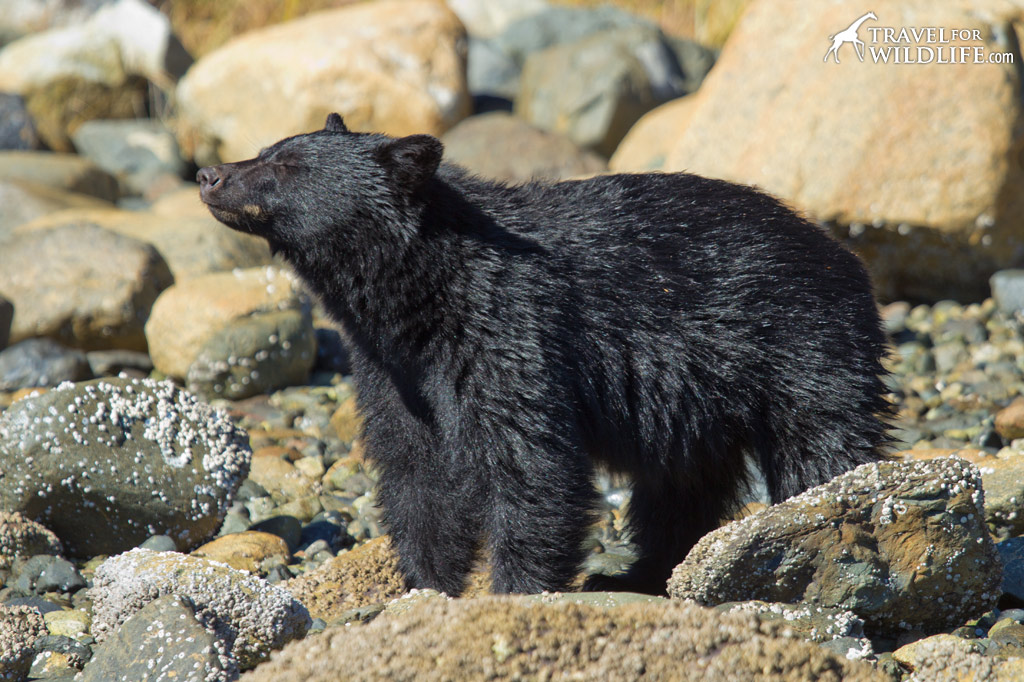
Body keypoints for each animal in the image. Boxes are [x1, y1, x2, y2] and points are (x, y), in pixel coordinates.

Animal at [197, 114, 888, 593]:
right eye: (266, 149)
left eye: (288, 166)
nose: (209, 175)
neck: (425, 291)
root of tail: (845, 256)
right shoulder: (392, 368)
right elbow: (416, 470)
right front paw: (423, 587)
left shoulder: (512, 330)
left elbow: (532, 461)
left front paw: (516, 590)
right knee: (682, 486)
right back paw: (641, 573)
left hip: (803, 344)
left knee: (823, 446)